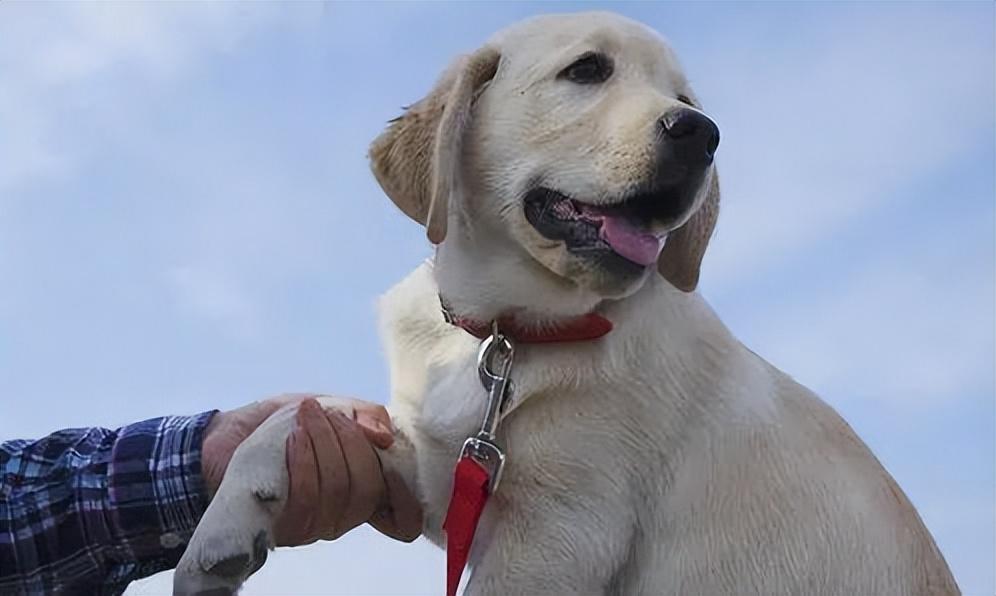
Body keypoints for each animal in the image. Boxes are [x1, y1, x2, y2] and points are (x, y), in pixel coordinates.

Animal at [175, 10, 960, 596]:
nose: (702, 134)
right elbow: (295, 415)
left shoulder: (561, 531)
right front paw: (221, 528)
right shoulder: (445, 474)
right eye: (587, 70)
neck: (515, 333)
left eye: (690, 104)